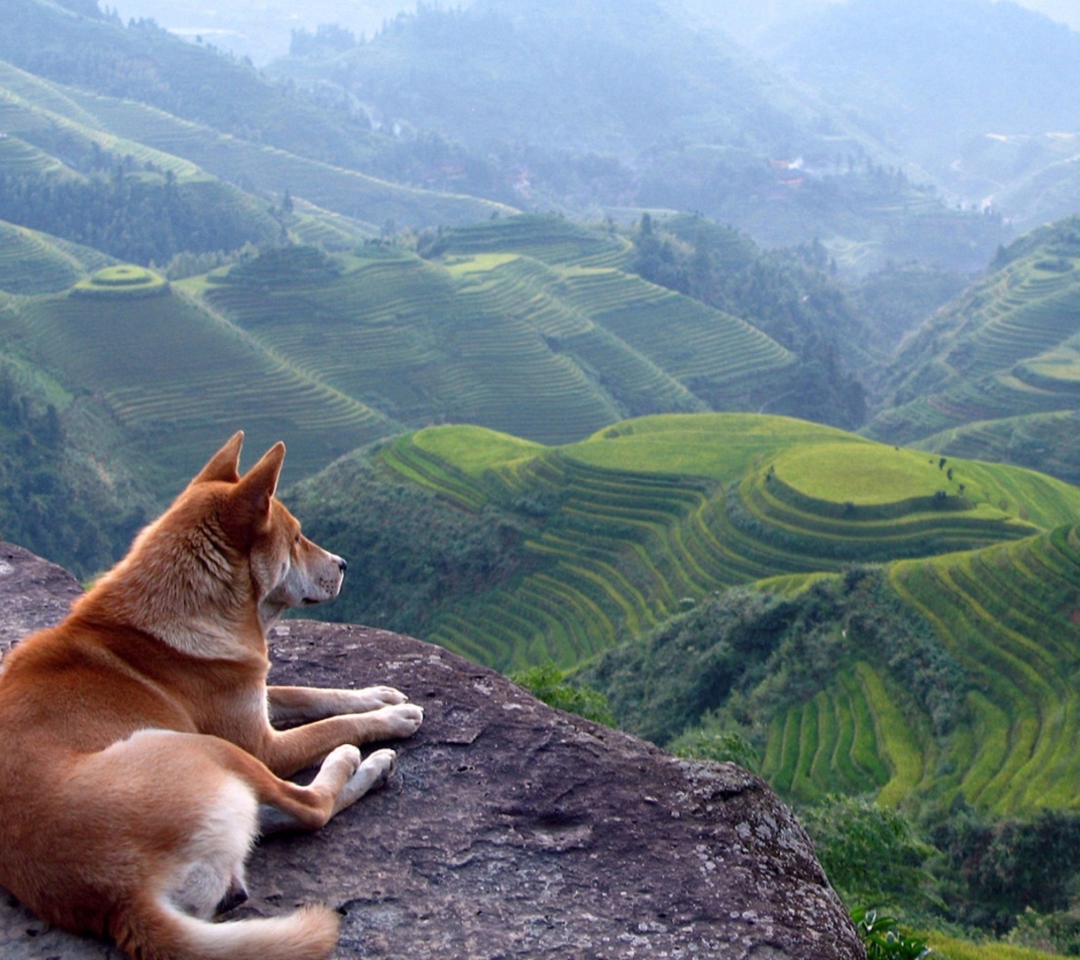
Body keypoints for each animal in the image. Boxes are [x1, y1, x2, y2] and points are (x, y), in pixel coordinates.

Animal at [0, 434, 423, 958]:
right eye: (297, 537)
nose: (344, 564)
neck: (181, 607)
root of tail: (120, 897)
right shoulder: (261, 744)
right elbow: (329, 724)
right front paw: (391, 717)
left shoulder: (252, 692)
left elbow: (310, 692)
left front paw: (376, 694)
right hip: (209, 748)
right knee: (309, 807)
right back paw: (361, 762)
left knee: (272, 819)